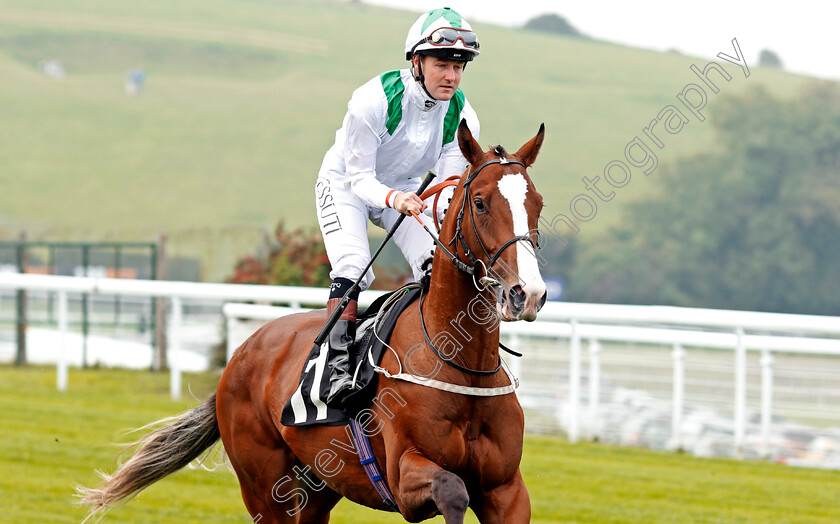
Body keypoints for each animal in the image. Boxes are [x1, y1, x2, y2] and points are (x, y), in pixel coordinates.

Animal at [80, 121, 552, 520]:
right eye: (480, 202)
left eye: (537, 203)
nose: (526, 293)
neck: (461, 364)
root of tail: (239, 357)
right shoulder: (404, 478)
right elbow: (453, 490)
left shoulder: (506, 490)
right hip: (266, 491)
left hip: (318, 488)